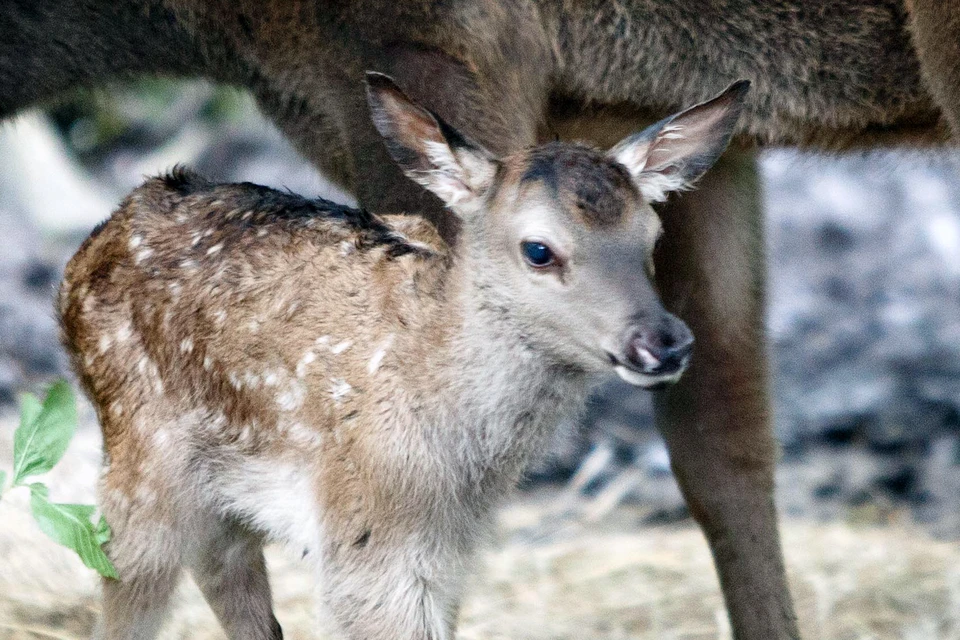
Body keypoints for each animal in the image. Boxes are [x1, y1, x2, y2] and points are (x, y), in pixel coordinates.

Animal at [3, 1, 956, 640]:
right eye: (537, 250)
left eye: (646, 237)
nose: (659, 340)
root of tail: (99, 239)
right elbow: (725, 442)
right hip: (153, 464)